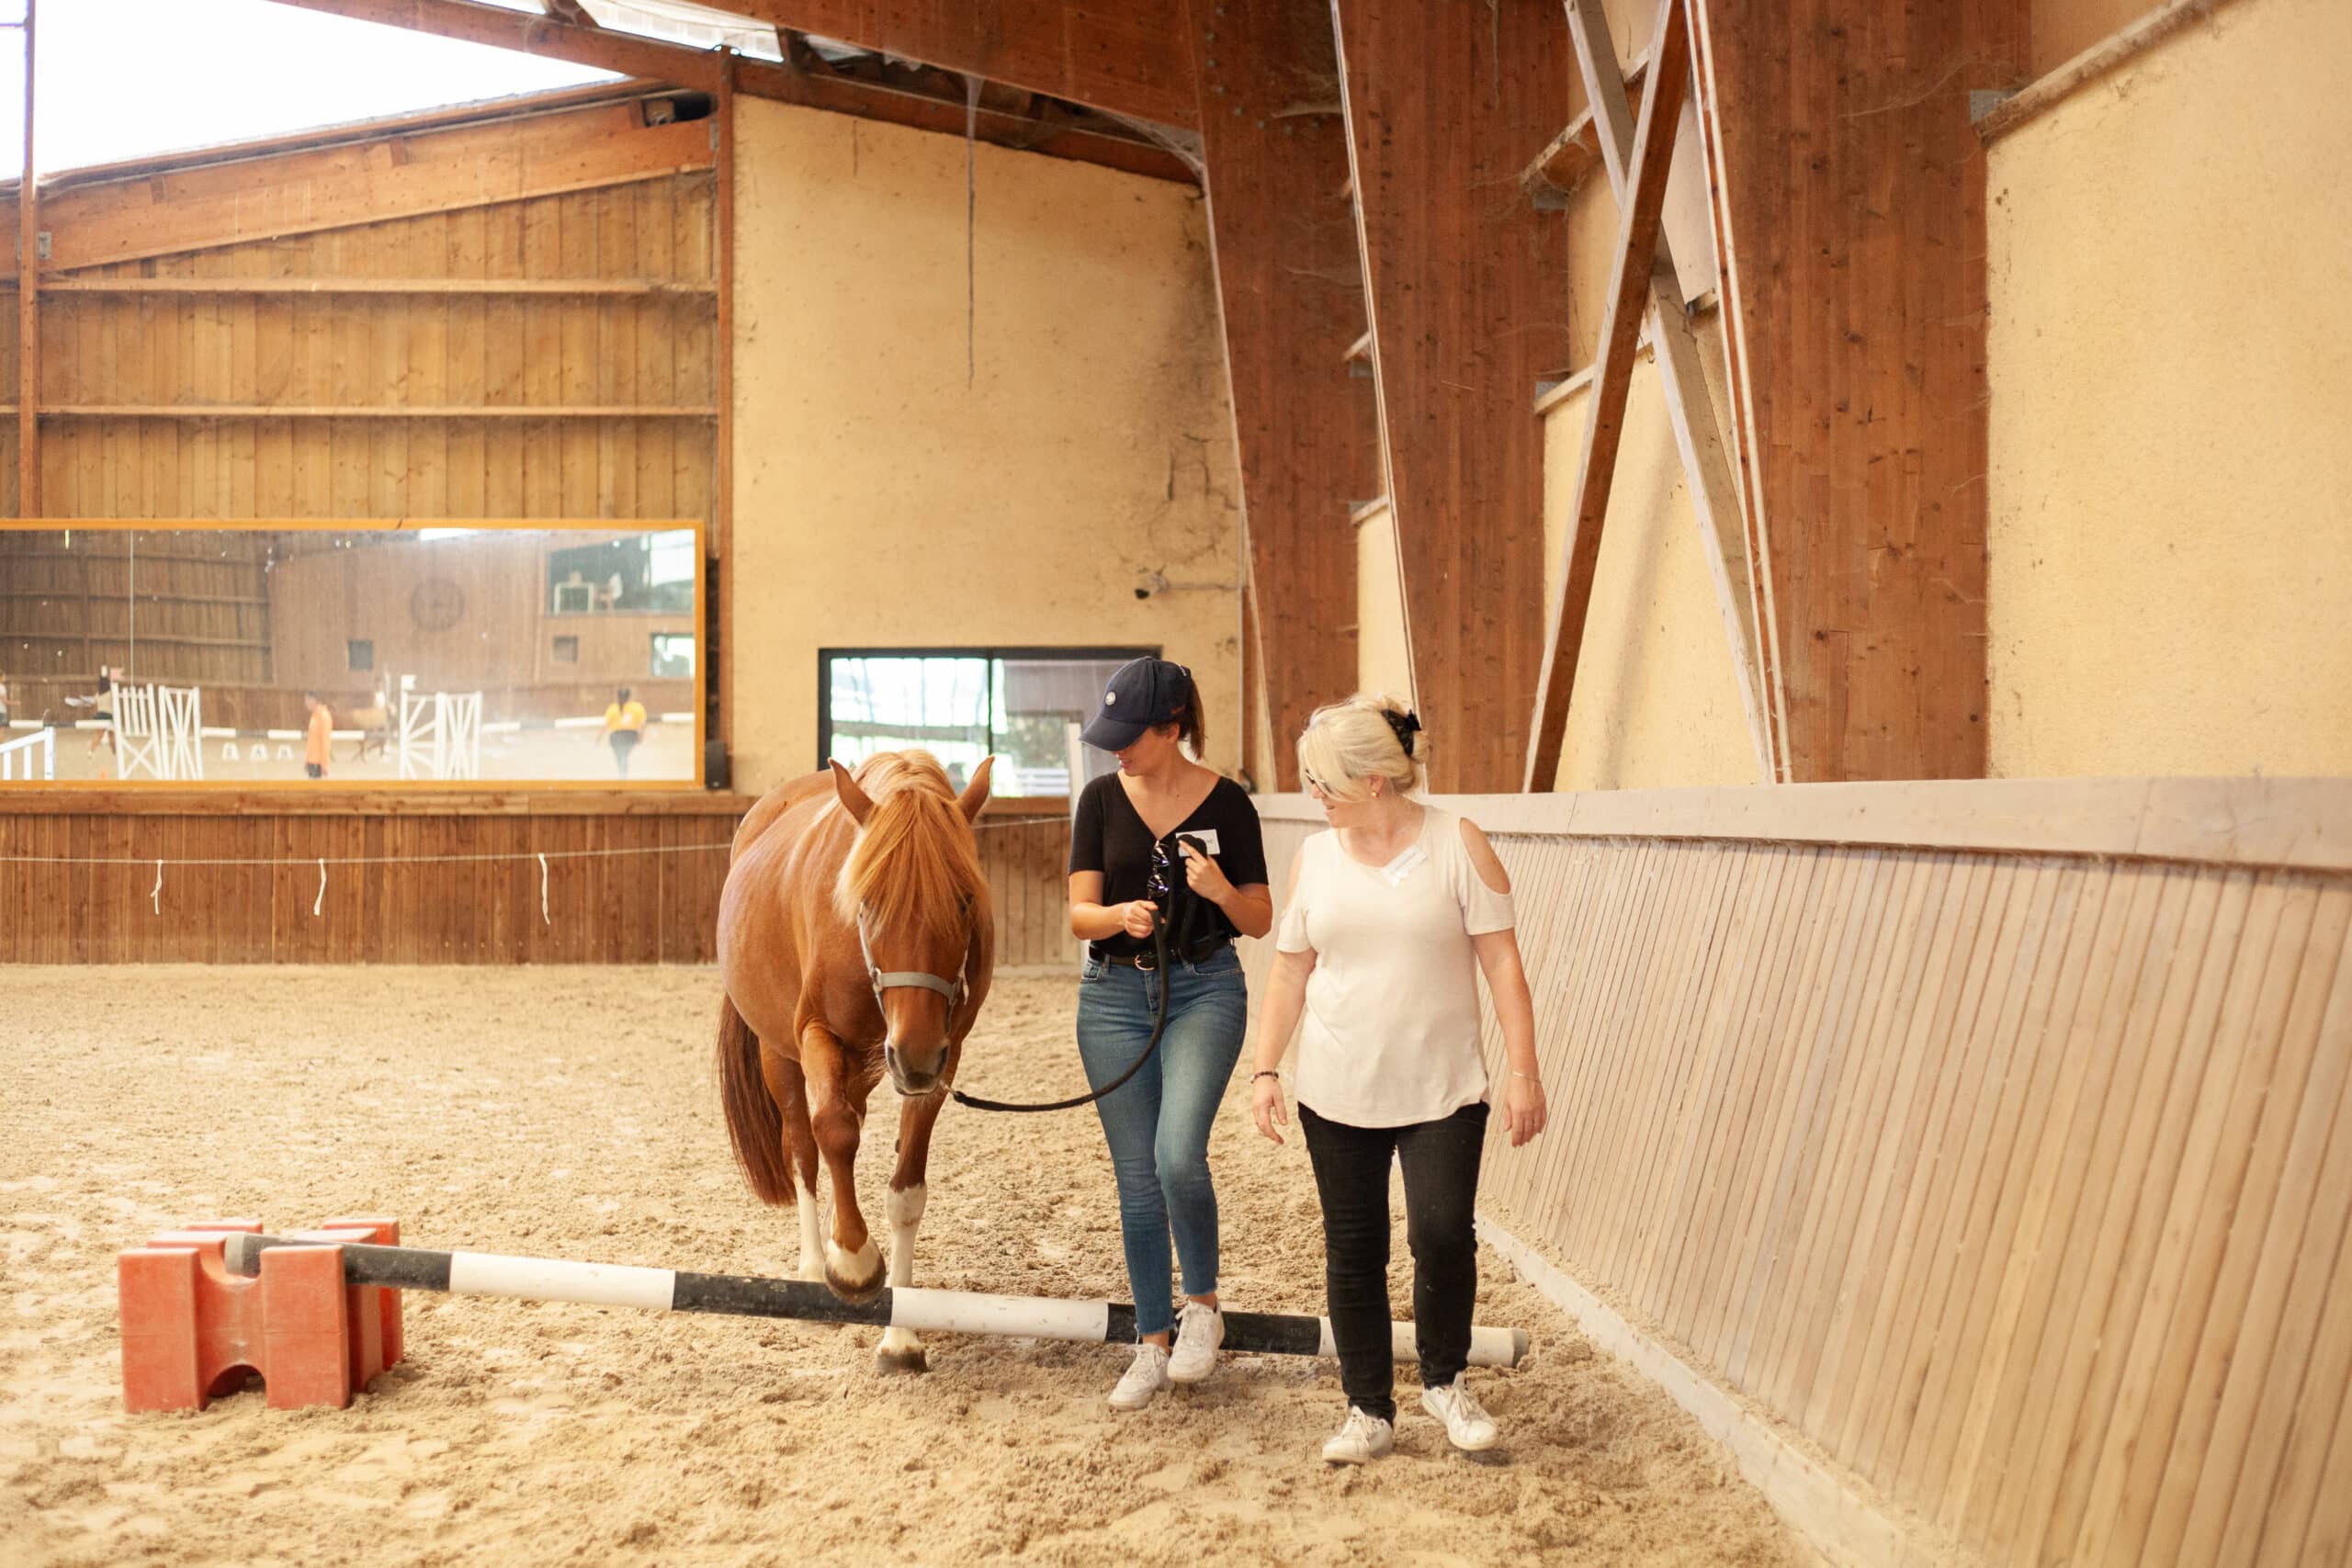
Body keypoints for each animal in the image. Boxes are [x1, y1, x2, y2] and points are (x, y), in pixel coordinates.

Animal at [715, 750, 995, 1372]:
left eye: (964, 899)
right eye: (867, 904)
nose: (914, 1054)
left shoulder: (943, 1061)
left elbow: (906, 1192)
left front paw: (901, 1337)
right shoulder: (818, 1036)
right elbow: (833, 1133)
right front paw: (853, 1262)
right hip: (781, 1054)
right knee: (804, 1147)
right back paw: (813, 1269)